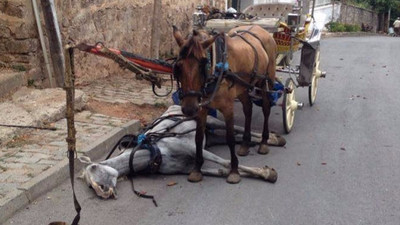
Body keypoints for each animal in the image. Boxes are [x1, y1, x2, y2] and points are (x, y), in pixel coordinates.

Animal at [79, 105, 284, 199]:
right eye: (89, 186)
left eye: (94, 169)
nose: (103, 193)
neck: (154, 152)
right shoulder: (185, 168)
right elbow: (220, 170)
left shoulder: (193, 148)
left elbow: (226, 162)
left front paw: (267, 173)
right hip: (209, 137)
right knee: (228, 137)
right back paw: (266, 141)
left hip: (211, 120)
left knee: (236, 128)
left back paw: (272, 139)